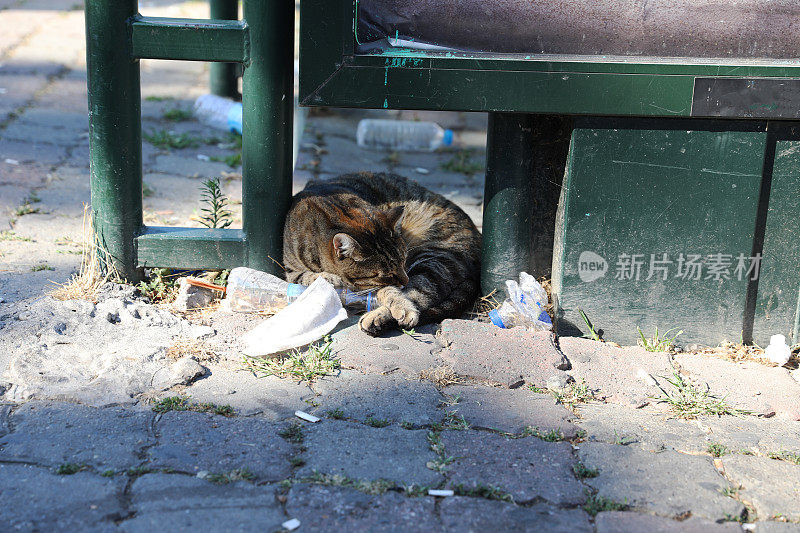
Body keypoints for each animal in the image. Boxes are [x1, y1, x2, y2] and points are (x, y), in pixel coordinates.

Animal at [282, 172, 482, 334]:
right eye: (386, 273)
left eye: (403, 261)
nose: (405, 279)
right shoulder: (290, 270)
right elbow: (306, 277)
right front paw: (329, 278)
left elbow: (393, 292)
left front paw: (400, 306)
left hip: (434, 259)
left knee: (421, 295)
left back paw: (378, 317)